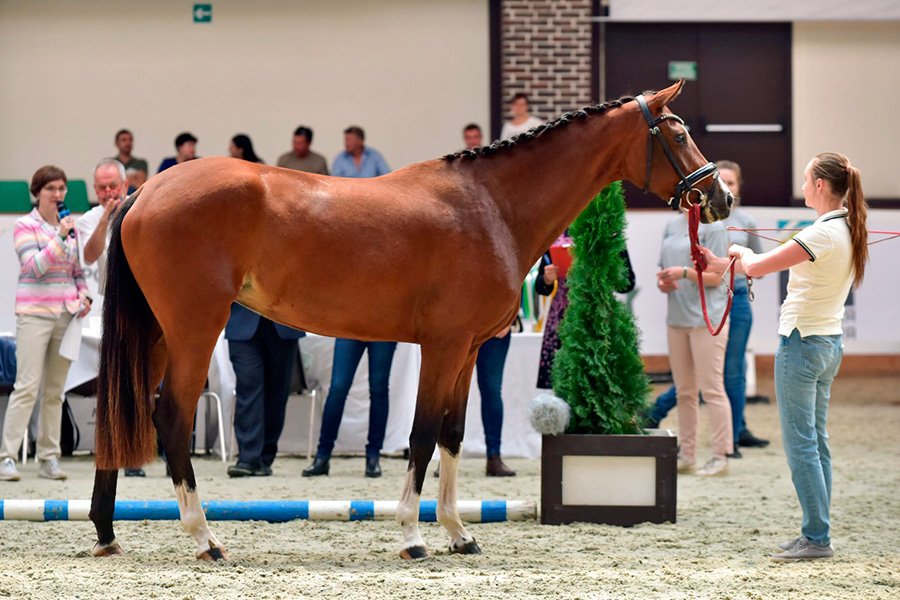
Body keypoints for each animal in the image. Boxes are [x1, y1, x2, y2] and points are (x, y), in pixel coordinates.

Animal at [88, 77, 732, 560]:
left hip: (157, 334)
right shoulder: (442, 346)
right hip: (195, 330)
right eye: (678, 132)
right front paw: (413, 533)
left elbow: (452, 434)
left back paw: (105, 531)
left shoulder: (468, 350)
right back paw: (206, 538)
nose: (720, 198)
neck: (491, 206)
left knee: (116, 416)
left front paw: (459, 533)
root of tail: (144, 192)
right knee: (171, 418)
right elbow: (421, 433)